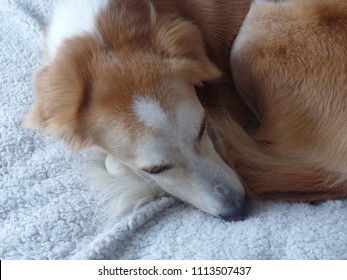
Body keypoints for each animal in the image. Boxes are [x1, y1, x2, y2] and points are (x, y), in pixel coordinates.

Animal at [24, 0, 347, 221]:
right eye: (155, 168)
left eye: (203, 127)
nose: (238, 209)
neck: (103, 34)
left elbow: (111, 162)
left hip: (254, 30)